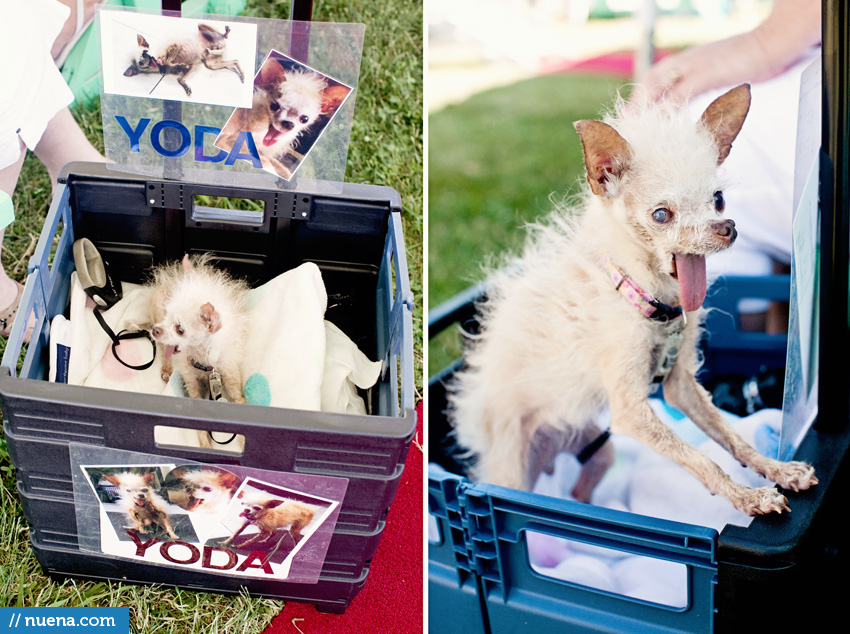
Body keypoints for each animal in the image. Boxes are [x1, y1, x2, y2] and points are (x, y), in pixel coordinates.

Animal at [450, 84, 816, 516]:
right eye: (661, 215)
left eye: (718, 199)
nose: (726, 228)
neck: (647, 298)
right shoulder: (629, 411)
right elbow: (701, 459)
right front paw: (746, 497)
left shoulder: (680, 386)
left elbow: (731, 437)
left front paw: (778, 471)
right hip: (512, 471)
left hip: (593, 444)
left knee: (587, 482)